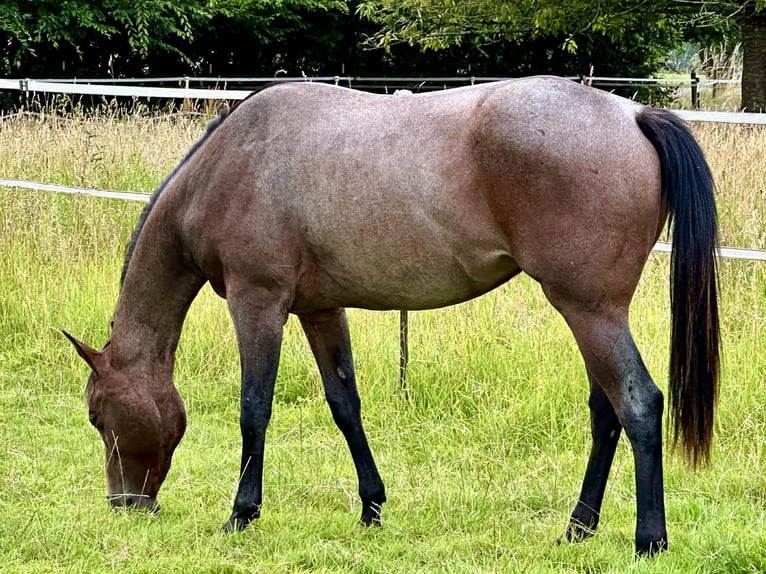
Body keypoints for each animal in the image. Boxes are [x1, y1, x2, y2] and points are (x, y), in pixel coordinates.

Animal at [64, 76, 720, 556]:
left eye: (98, 417)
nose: (124, 504)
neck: (232, 165)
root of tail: (634, 116)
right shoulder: (320, 309)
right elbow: (344, 405)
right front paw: (371, 506)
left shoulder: (259, 304)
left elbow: (254, 411)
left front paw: (241, 514)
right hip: (592, 315)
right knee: (606, 413)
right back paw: (577, 528)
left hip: (590, 310)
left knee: (638, 403)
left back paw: (648, 539)